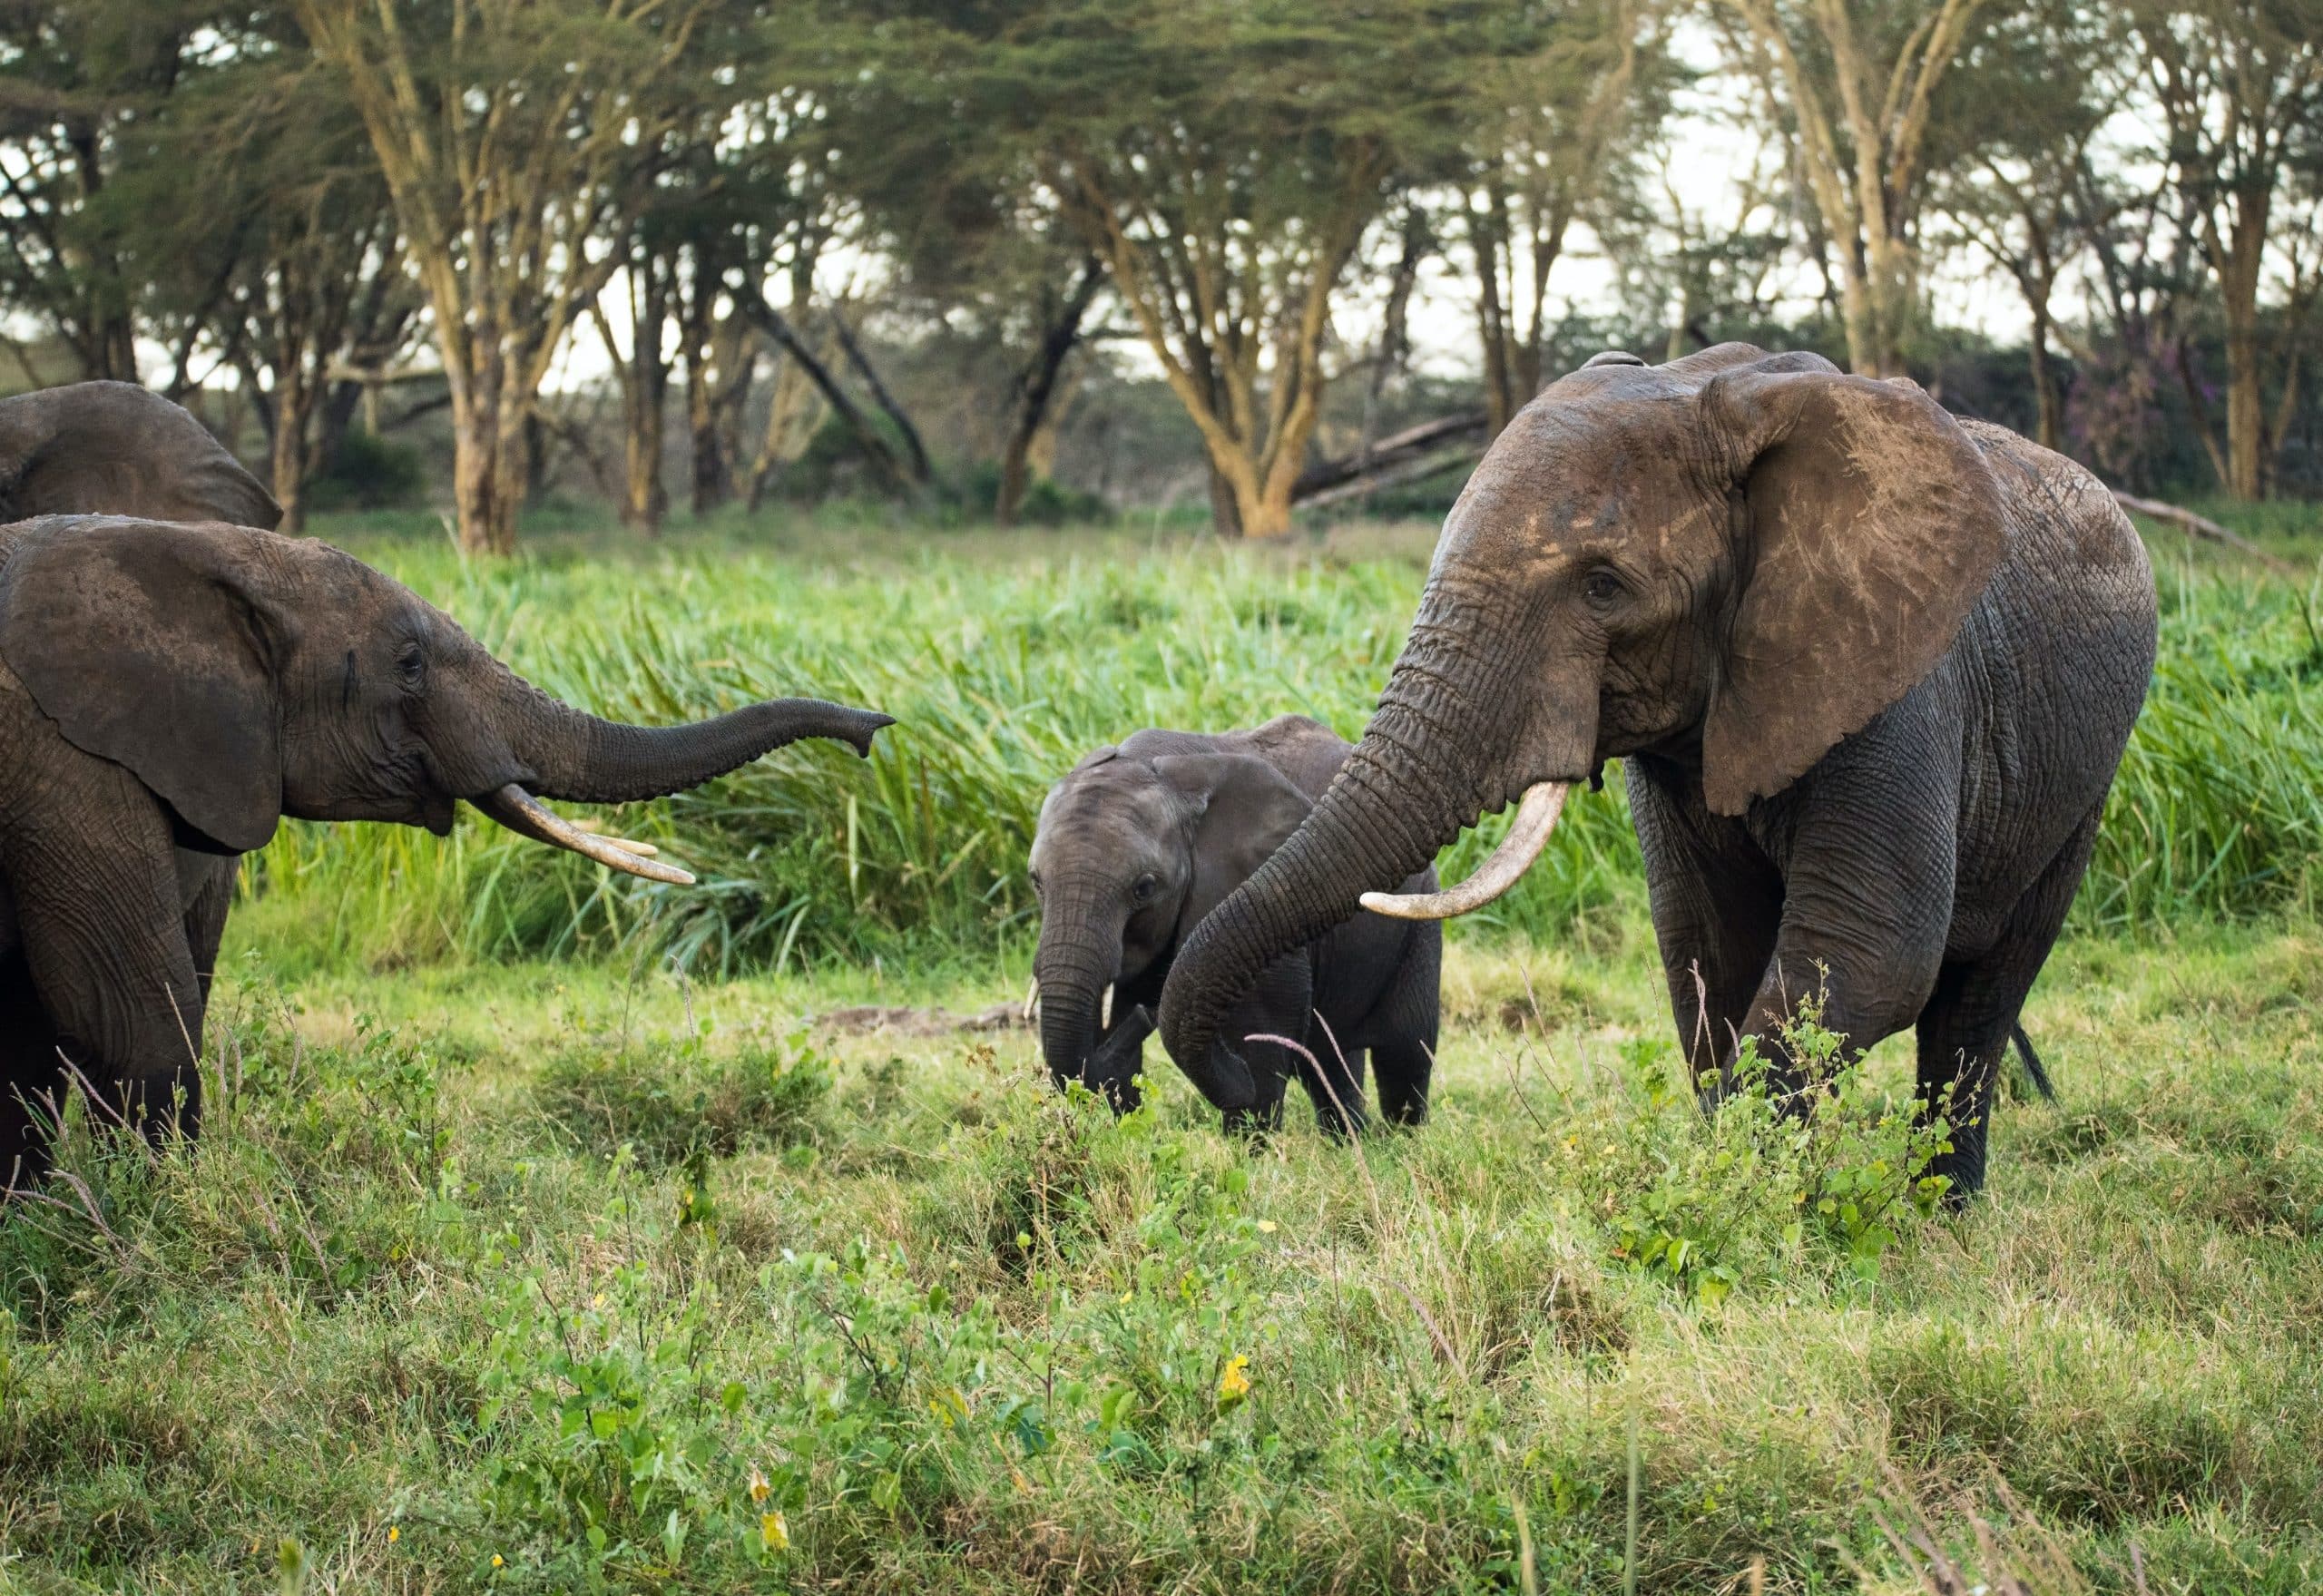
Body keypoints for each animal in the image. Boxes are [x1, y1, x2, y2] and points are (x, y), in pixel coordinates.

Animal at [0, 511, 892, 1184]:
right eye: (410, 662)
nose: (873, 728)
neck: (187, 550)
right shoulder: (65, 764)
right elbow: (131, 1019)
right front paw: (156, 1216)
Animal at [1031, 710, 1440, 1138]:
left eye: (1144, 887)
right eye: (1036, 881)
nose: (1147, 1015)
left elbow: (1262, 1027)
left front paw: (1248, 1147)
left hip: (1418, 917)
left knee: (1404, 1051)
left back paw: (1404, 1138)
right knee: (1331, 1058)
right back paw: (1349, 1140)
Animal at [1162, 346, 2155, 1199]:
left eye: (1604, 588)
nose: (1248, 1092)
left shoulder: (1903, 676)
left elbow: (1866, 946)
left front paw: (1739, 1201)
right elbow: (1707, 948)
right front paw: (1749, 1185)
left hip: (2084, 780)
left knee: (1980, 994)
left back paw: (1943, 1212)